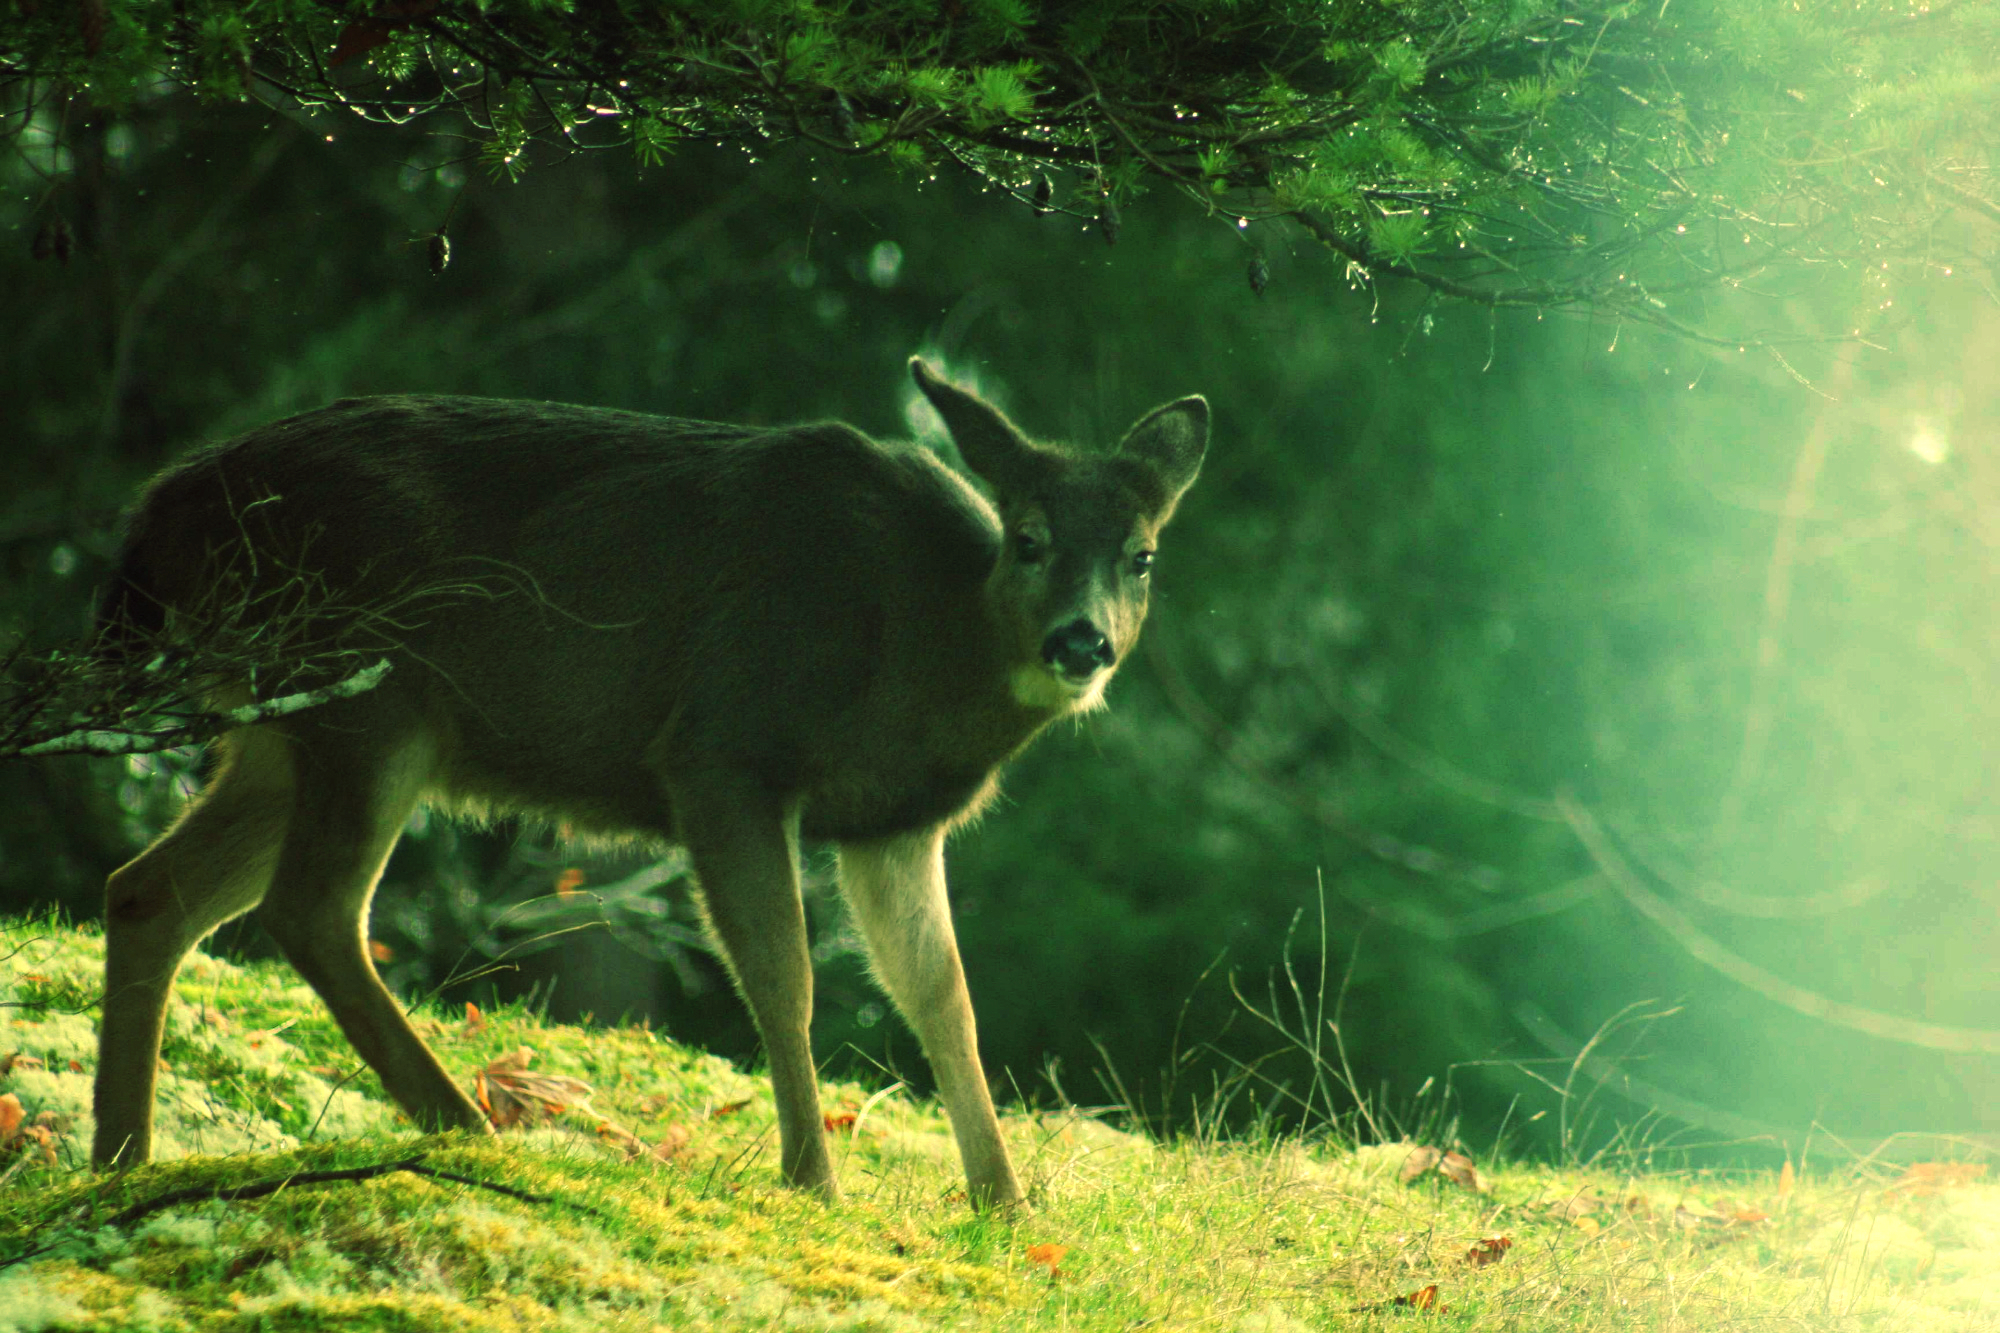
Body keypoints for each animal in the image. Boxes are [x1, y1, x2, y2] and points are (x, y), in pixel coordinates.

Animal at [90, 352, 1200, 1200]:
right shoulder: (723, 748)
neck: (917, 645)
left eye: (1142, 555)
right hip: (370, 689)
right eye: (1030, 539)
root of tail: (155, 516)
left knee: (150, 889)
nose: (1081, 642)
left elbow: (942, 996)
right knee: (311, 907)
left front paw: (1003, 1203)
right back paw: (465, 1127)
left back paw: (121, 1159)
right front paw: (813, 1181)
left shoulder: (892, 820)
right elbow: (783, 975)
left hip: (286, 727)